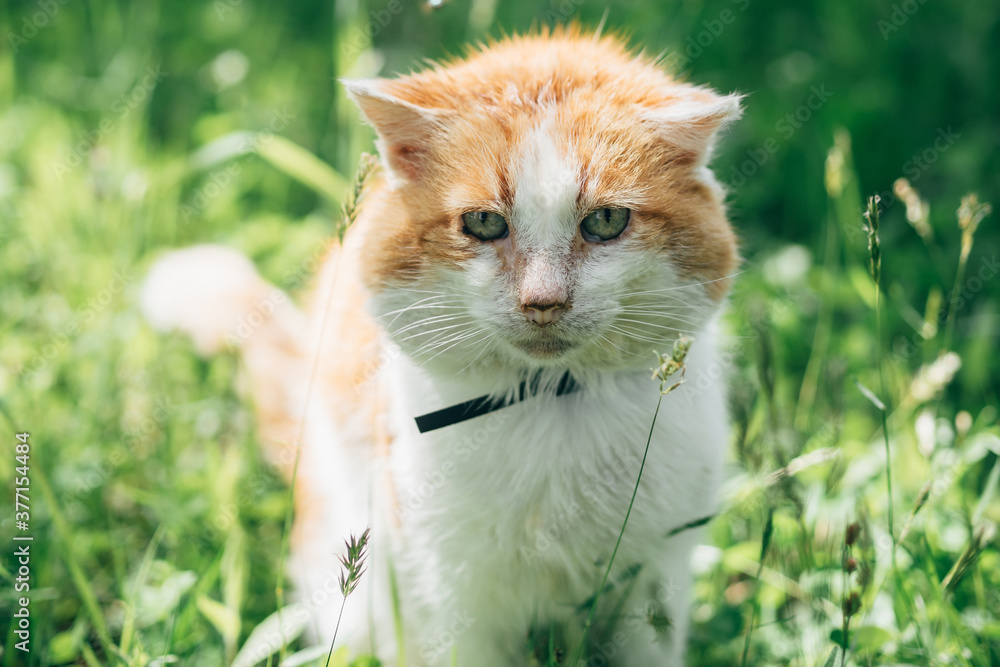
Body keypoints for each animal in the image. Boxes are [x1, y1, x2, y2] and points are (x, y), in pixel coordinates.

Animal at [145, 23, 748, 664]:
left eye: (606, 221)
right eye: (483, 224)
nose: (543, 301)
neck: (550, 400)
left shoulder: (655, 581)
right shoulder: (450, 589)